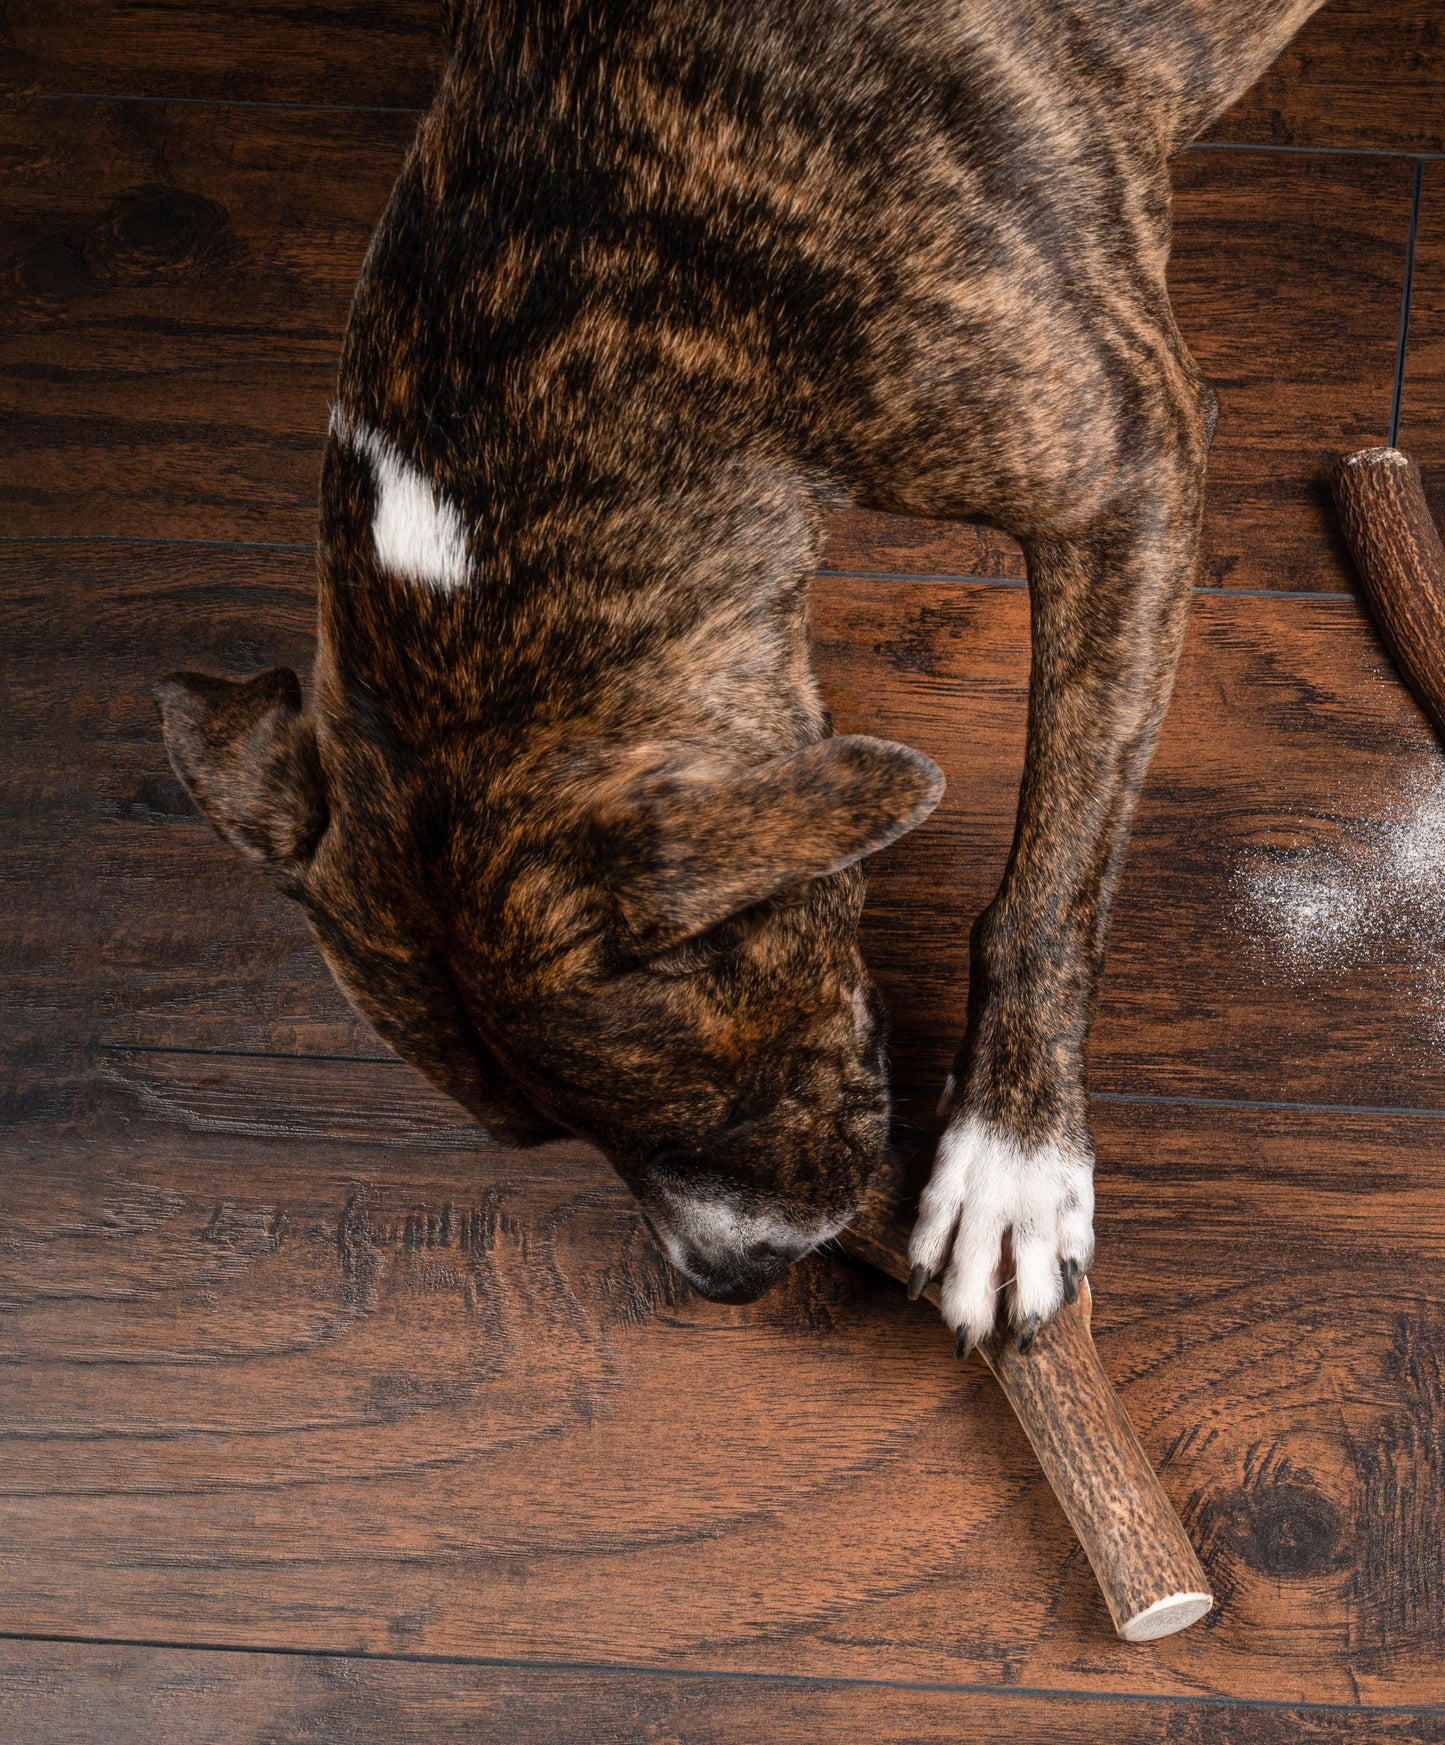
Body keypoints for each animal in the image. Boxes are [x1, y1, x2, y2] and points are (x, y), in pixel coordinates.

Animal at [155, 0, 1319, 1347]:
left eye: (714, 1098)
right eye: (538, 1137)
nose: (726, 1279)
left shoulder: (1121, 476)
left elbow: (1053, 873)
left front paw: (1011, 1159)